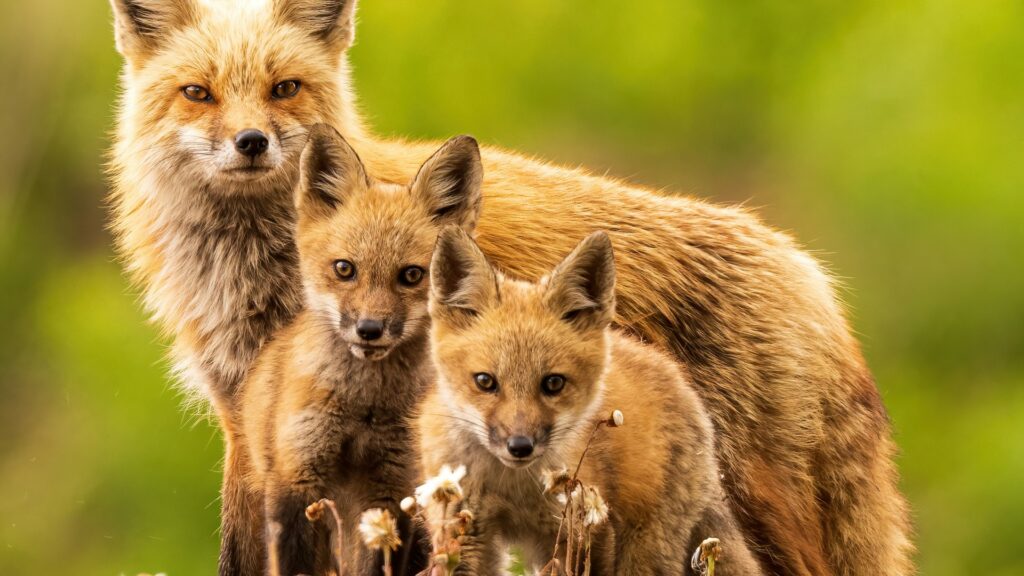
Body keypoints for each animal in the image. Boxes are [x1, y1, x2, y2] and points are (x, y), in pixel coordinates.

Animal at [232, 125, 483, 575]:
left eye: (412, 275)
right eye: (344, 269)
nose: (369, 330)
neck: (363, 405)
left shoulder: (390, 491)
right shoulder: (295, 480)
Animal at [418, 227, 765, 575]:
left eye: (553, 383)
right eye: (485, 381)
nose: (520, 446)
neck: (513, 487)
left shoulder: (583, 532)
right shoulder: (463, 532)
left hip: (645, 548)